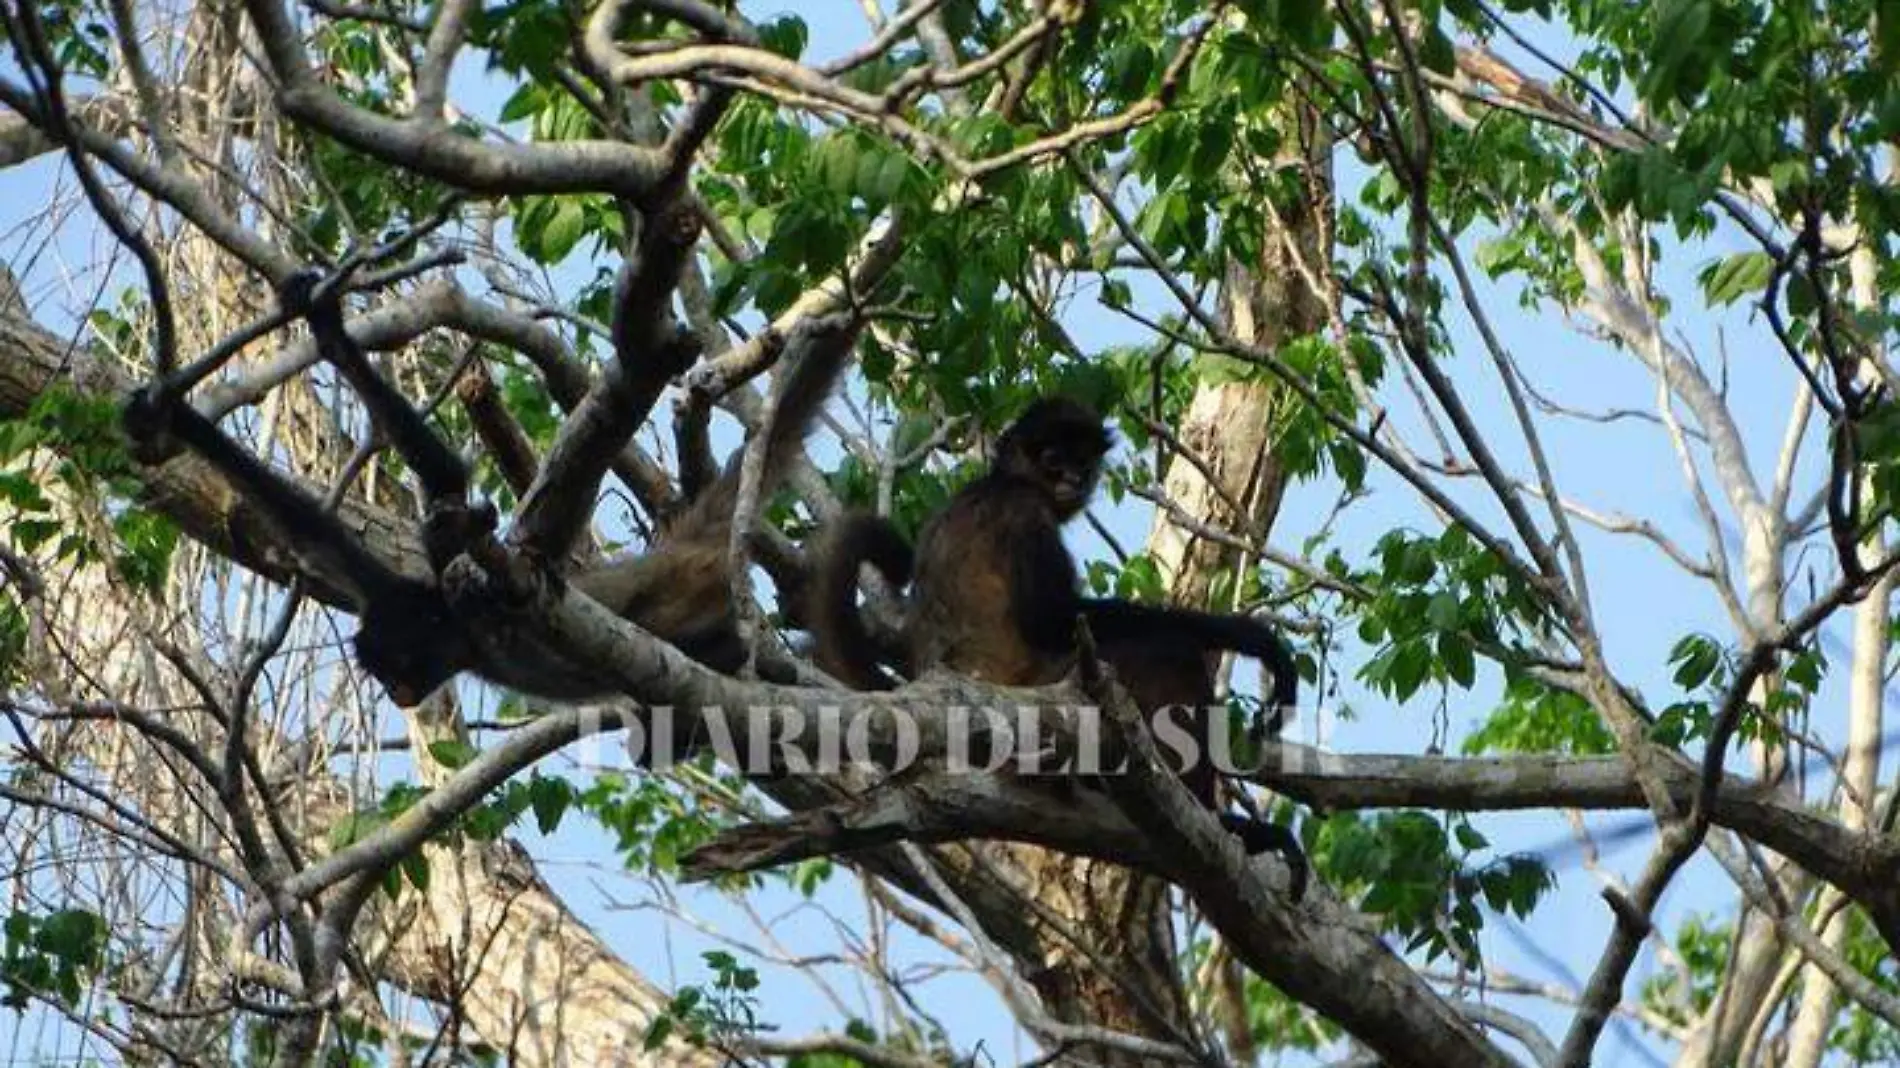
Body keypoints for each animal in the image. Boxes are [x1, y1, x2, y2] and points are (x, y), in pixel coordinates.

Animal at [801, 395, 1307, 893]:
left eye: (1081, 460)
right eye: (1051, 458)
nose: (1071, 479)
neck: (1002, 480)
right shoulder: (1022, 509)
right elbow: (1050, 621)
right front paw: (1252, 639)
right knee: (1162, 649)